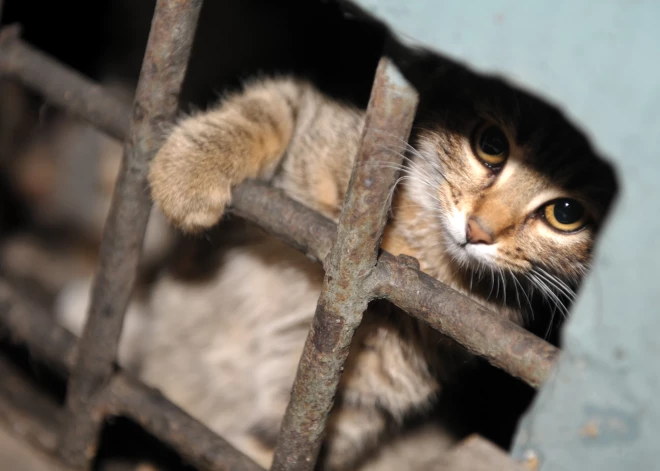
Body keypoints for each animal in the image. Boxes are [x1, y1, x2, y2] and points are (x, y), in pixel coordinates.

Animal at [58, 63, 620, 471]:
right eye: (491, 145)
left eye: (565, 214)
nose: (479, 229)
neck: (417, 240)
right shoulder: (328, 130)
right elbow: (274, 107)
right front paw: (188, 171)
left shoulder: (362, 397)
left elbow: (266, 446)